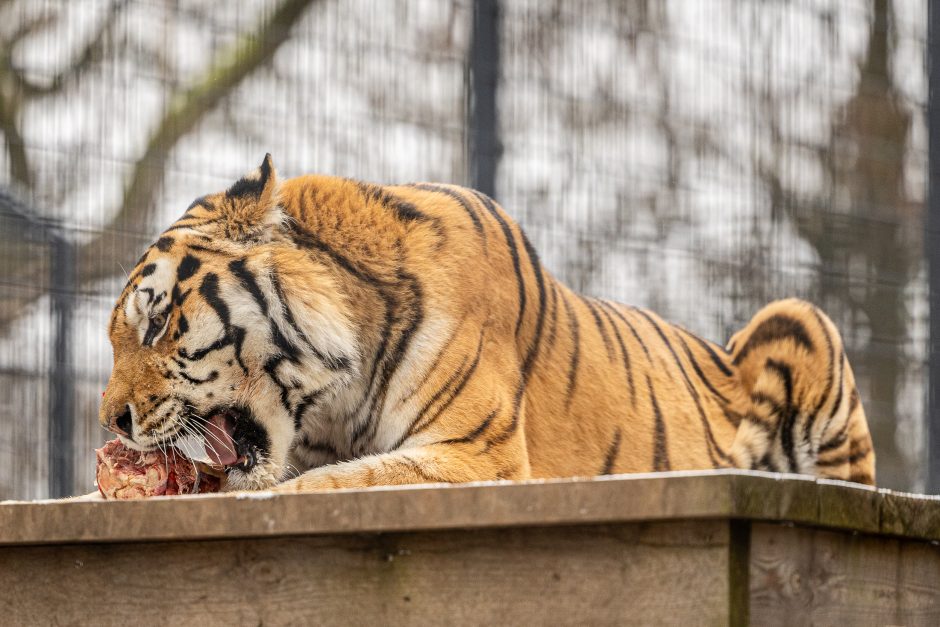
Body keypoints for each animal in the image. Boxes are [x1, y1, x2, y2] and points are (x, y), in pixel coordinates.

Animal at [99, 156, 876, 490]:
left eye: (158, 321)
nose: (113, 421)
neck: (332, 402)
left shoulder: (474, 454)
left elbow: (320, 487)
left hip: (801, 320)